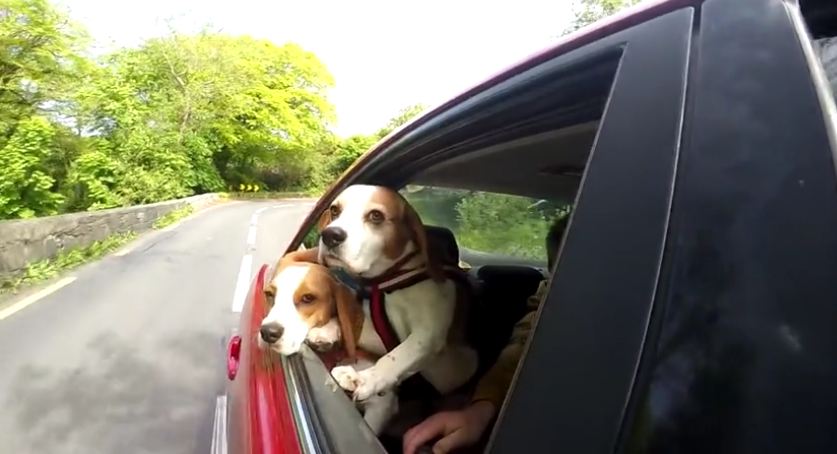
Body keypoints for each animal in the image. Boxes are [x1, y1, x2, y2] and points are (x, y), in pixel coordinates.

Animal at [280, 183, 476, 406]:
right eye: (335, 210)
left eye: (376, 216)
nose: (330, 235)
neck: (393, 282)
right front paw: (327, 330)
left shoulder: (432, 340)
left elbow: (398, 356)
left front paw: (362, 379)